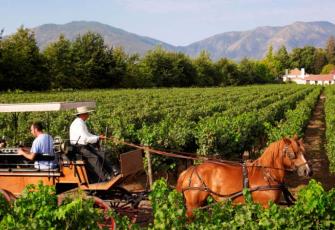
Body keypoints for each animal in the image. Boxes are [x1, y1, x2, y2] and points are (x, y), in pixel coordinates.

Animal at [177, 136, 314, 217]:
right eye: (292, 154)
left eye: (303, 151)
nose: (308, 171)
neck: (267, 175)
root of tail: (189, 171)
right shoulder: (266, 206)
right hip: (193, 206)